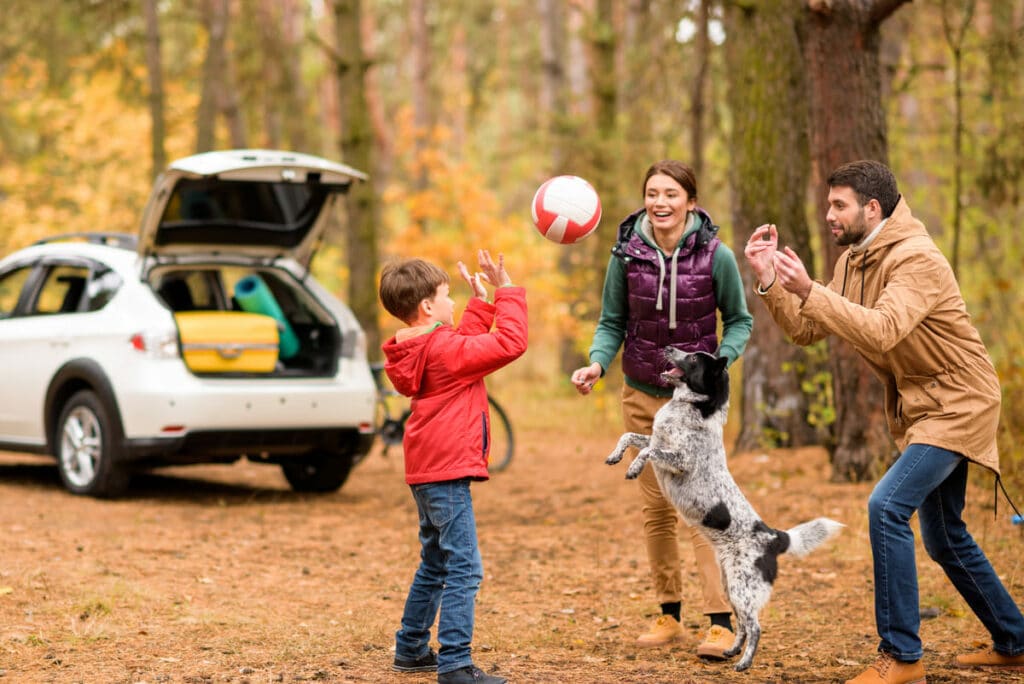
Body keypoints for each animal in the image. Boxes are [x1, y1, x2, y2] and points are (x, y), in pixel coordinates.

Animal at [606, 350, 839, 671]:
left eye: (692, 358)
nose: (669, 348)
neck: (691, 407)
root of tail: (774, 537)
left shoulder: (680, 459)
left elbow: (646, 451)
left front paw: (633, 467)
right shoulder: (655, 438)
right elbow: (630, 436)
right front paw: (615, 456)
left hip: (742, 587)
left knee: (755, 626)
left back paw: (744, 662)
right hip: (731, 585)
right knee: (742, 624)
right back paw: (731, 651)